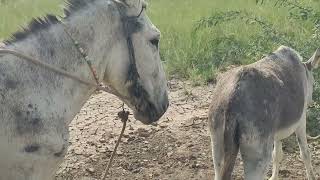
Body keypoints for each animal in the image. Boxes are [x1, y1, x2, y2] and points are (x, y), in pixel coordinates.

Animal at [209, 45, 318, 179]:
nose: (311, 101)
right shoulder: (301, 122)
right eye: (313, 83)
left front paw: (274, 177)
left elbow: (277, 155)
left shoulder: (276, 133)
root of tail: (233, 98)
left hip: (217, 147)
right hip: (257, 155)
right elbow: (305, 153)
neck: (303, 70)